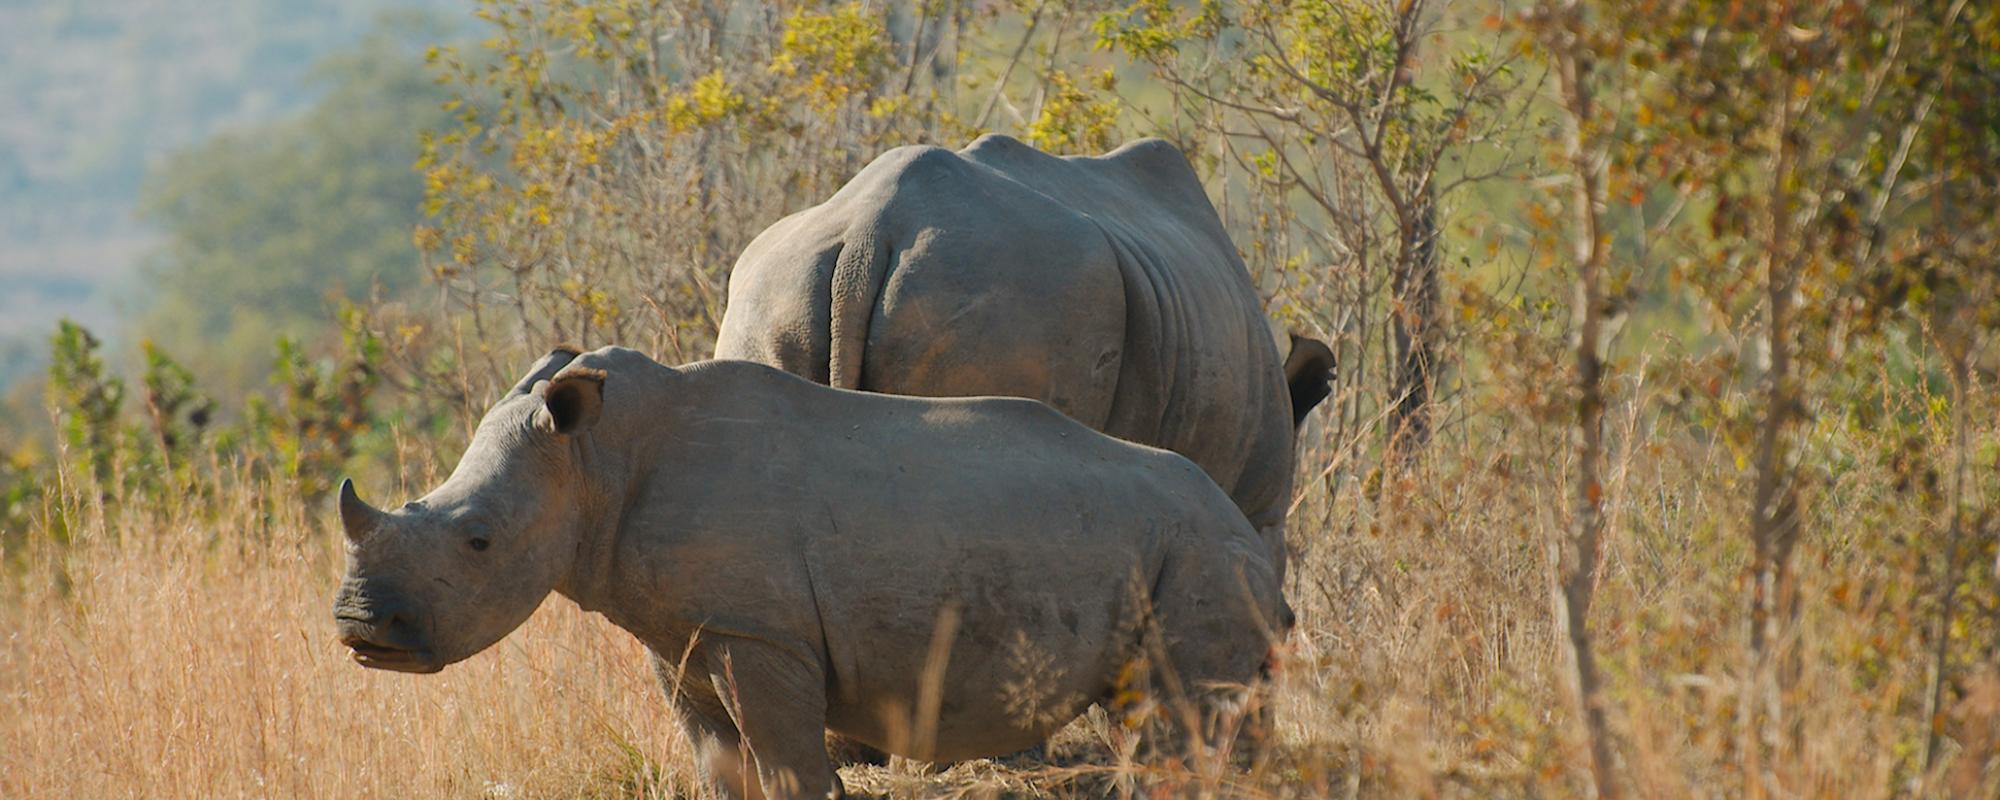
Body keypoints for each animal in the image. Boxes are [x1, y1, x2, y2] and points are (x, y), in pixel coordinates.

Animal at [336, 346, 1288, 800]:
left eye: (478, 541)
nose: (358, 629)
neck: (595, 460)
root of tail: (1244, 528)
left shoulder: (759, 632)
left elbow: (790, 767)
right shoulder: (684, 633)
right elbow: (722, 767)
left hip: (1201, 552)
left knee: (1187, 722)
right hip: (1177, 549)